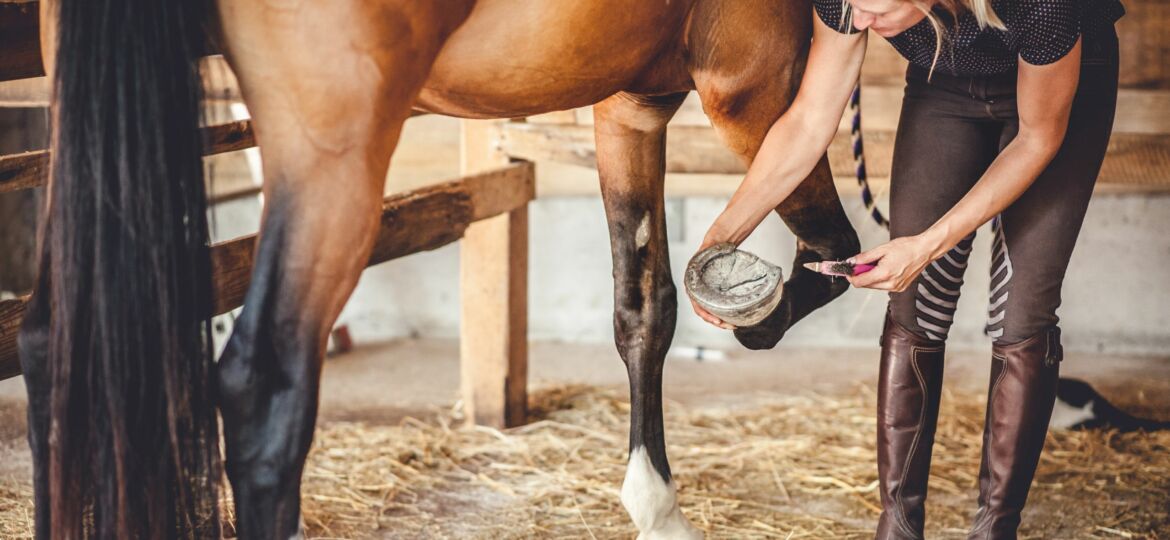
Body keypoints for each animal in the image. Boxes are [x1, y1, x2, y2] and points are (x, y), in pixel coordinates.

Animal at [20, 1, 861, 535]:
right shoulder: (757, 83)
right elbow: (832, 245)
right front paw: (760, 314)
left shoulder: (632, 104)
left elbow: (643, 307)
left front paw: (657, 509)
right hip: (331, 155)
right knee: (262, 396)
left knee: (48, 347)